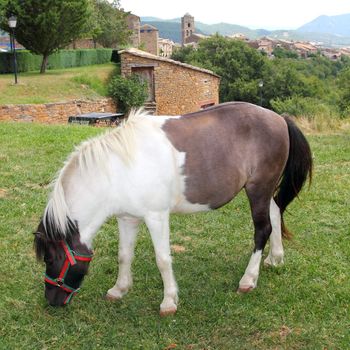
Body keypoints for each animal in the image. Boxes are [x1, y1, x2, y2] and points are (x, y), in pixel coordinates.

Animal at [33, 101, 312, 314]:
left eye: (50, 258)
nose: (51, 300)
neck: (119, 168)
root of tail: (279, 119)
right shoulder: (127, 218)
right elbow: (124, 255)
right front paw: (119, 289)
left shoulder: (156, 217)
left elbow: (163, 259)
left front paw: (169, 301)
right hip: (264, 190)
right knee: (275, 212)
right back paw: (275, 258)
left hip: (258, 188)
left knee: (262, 229)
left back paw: (249, 279)